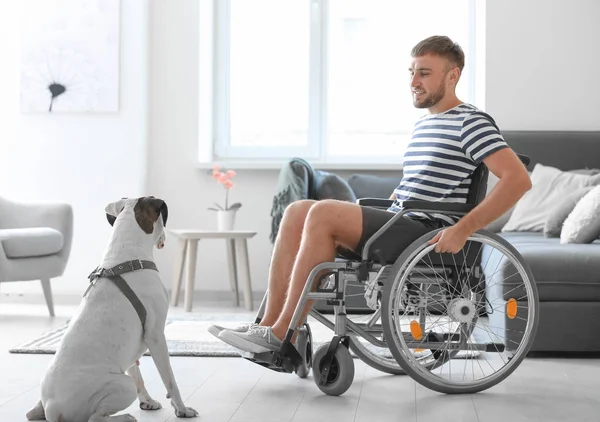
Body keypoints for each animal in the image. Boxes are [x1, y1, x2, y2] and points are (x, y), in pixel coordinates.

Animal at [26, 197, 199, 422]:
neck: (126, 259)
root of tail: (52, 410)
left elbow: (137, 374)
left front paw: (148, 402)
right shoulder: (156, 336)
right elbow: (169, 379)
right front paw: (182, 409)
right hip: (123, 386)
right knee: (95, 418)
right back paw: (125, 417)